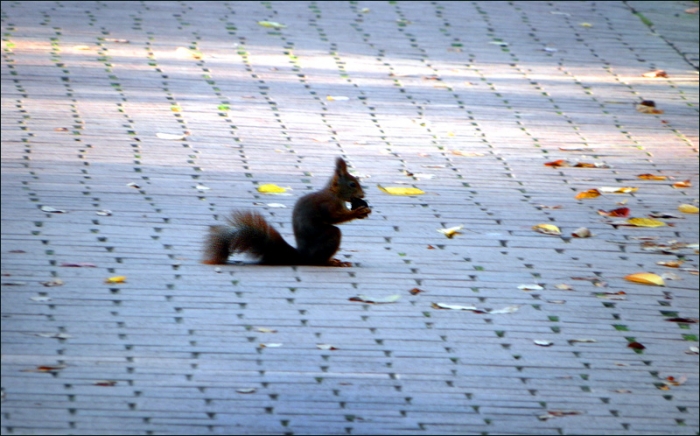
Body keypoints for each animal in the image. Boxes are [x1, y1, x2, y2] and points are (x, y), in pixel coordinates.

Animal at [203, 157, 372, 266]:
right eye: (352, 184)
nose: (363, 195)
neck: (334, 193)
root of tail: (303, 256)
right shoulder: (327, 204)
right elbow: (334, 217)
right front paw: (358, 212)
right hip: (329, 238)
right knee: (322, 254)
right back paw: (331, 262)